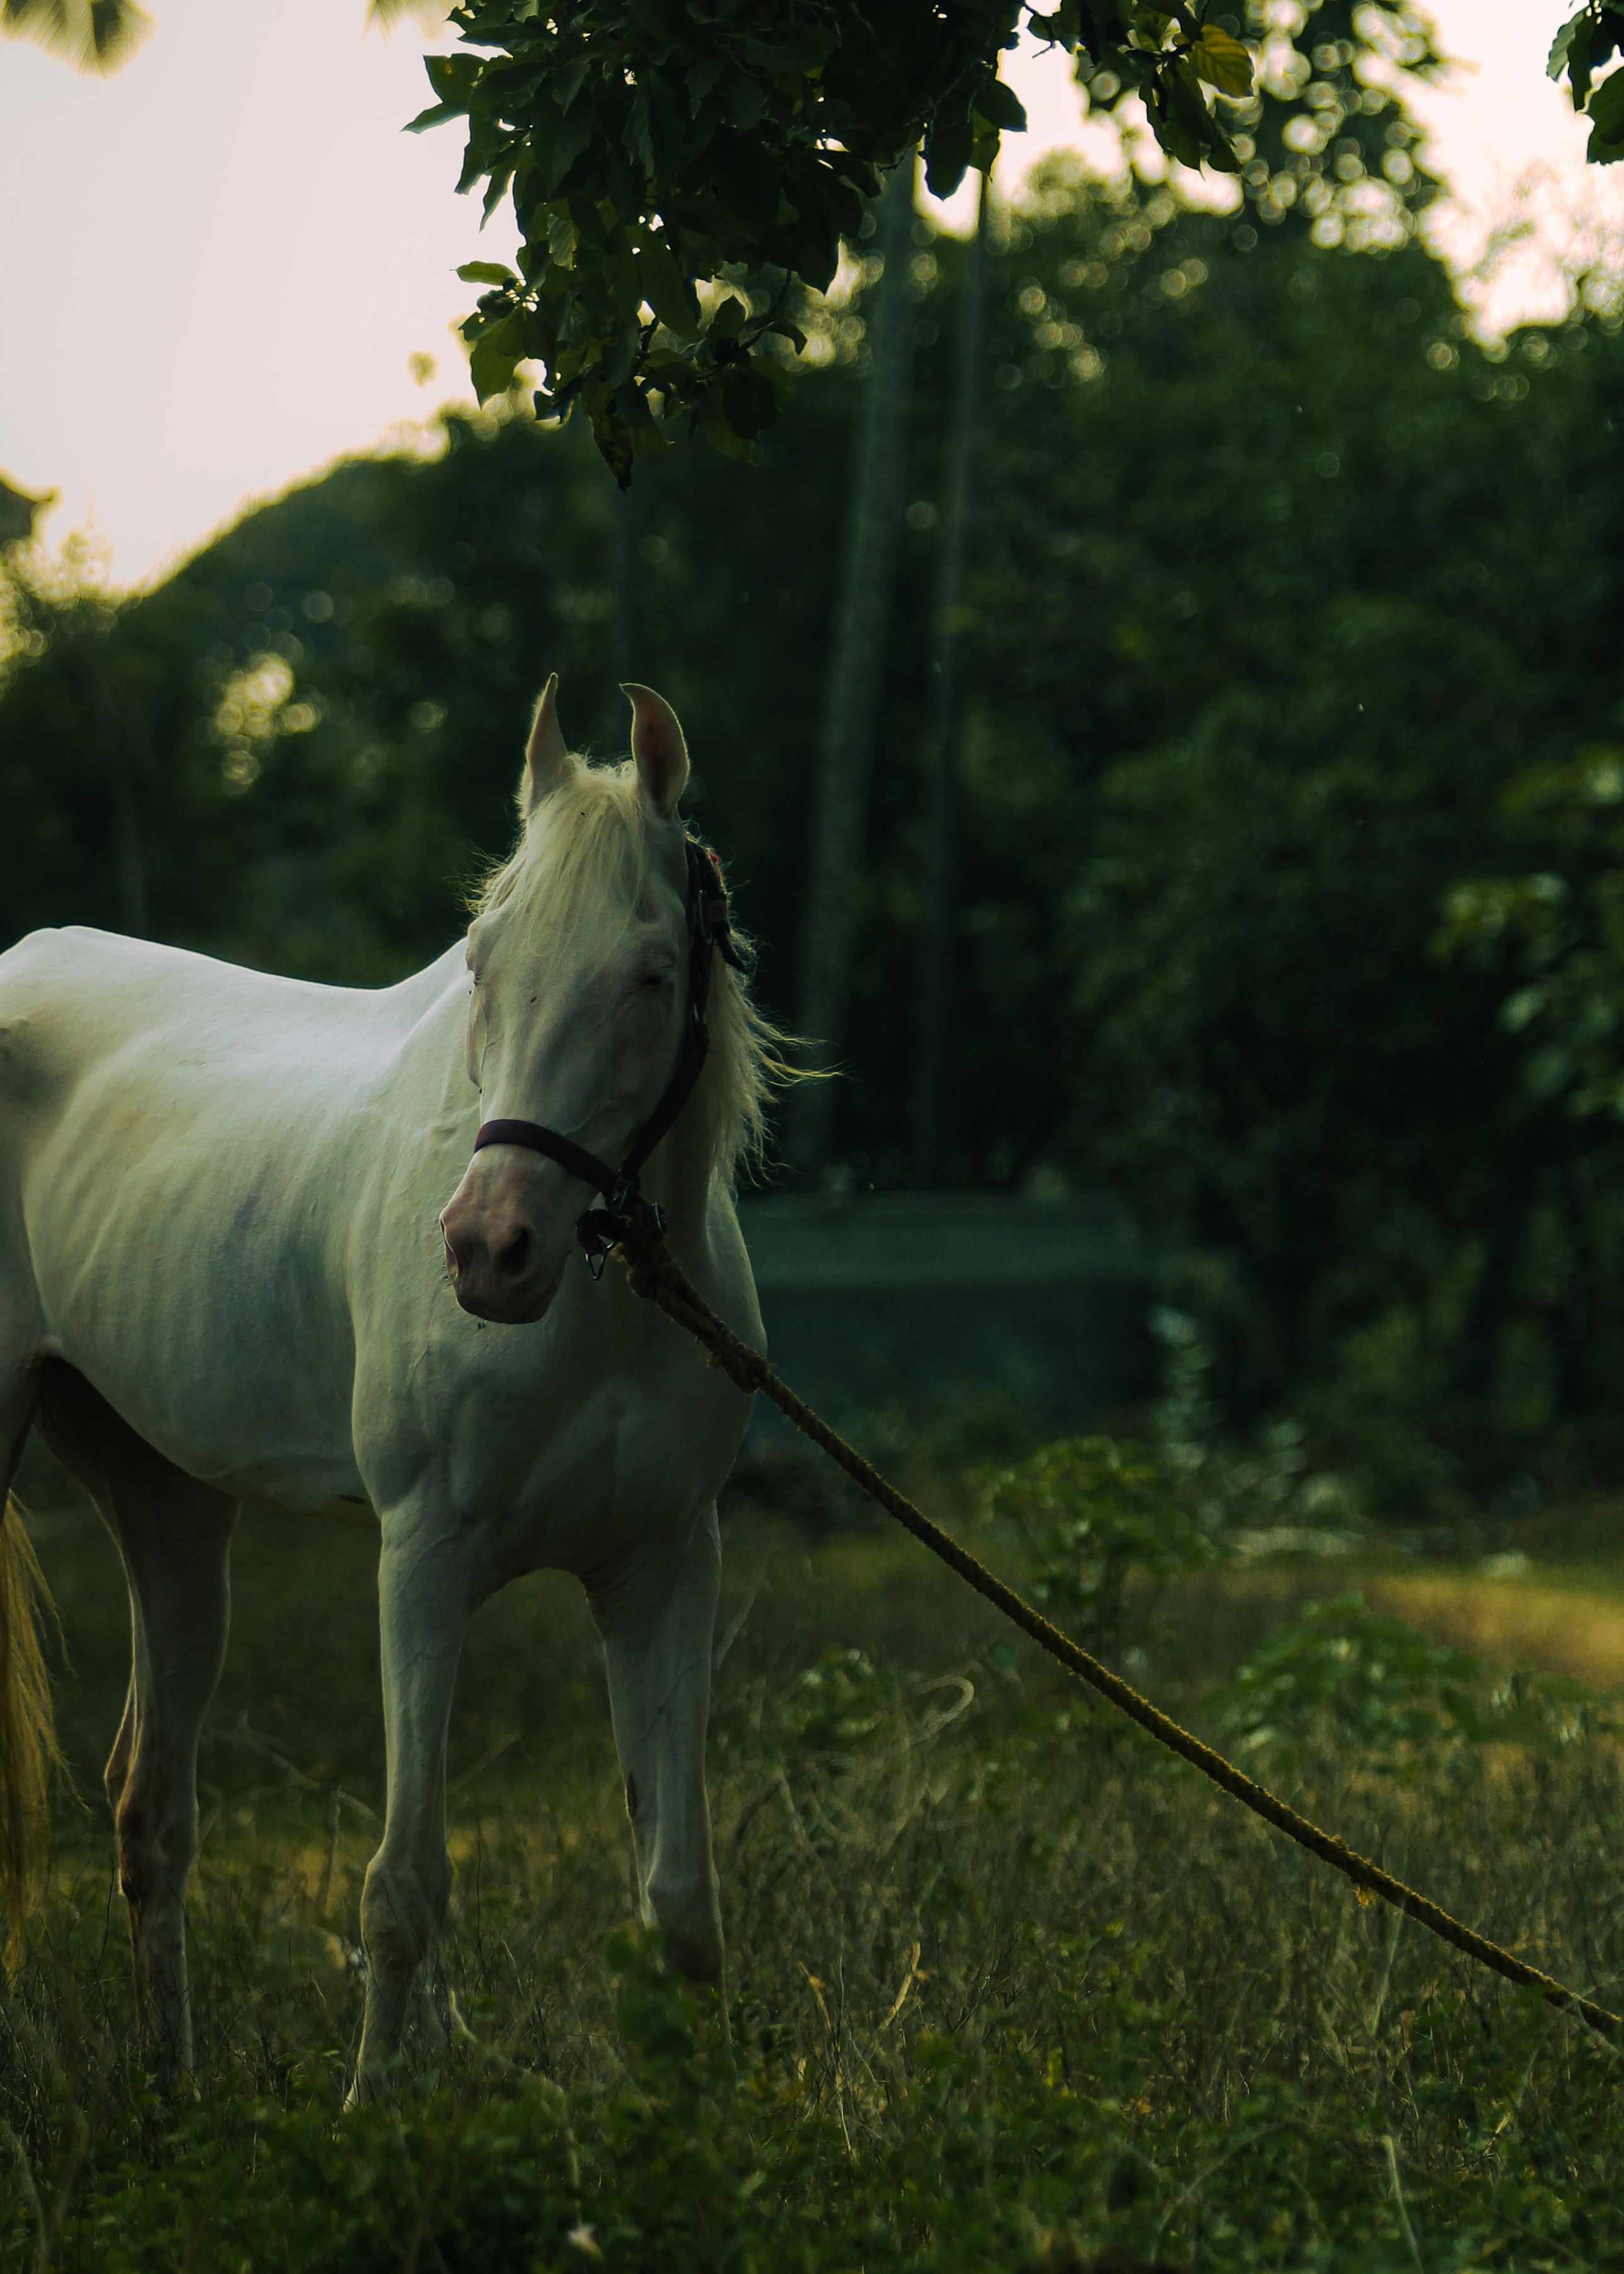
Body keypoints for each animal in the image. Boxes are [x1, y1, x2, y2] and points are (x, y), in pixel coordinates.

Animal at [0, 678, 781, 2095]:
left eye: (651, 975)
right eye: (482, 961)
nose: (486, 1249)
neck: (601, 1309)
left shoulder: (661, 1565)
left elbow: (680, 1902)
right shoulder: (424, 1557)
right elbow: (401, 1887)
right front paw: (374, 2111)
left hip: (169, 1503)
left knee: (151, 1806)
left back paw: (174, 2096)